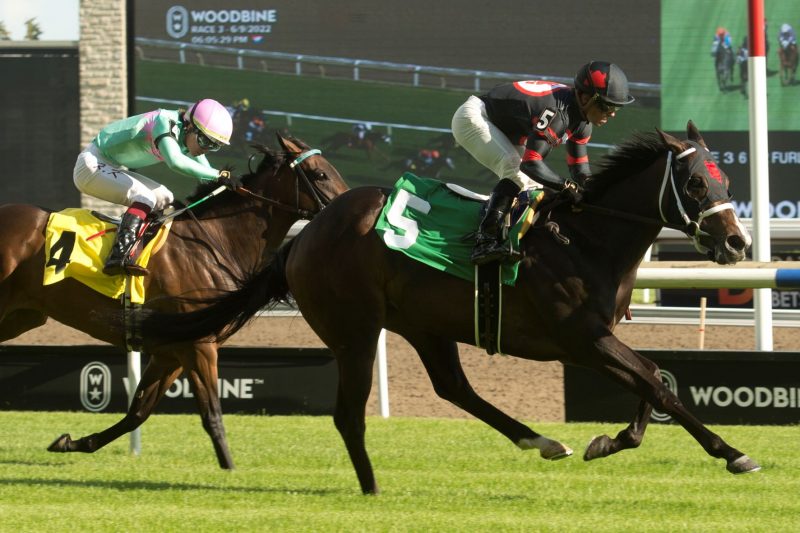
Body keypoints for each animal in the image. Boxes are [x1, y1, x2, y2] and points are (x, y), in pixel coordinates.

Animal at [0, 135, 350, 468]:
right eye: (320, 174)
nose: (346, 205)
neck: (216, 239)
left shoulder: (170, 351)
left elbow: (138, 411)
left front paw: (72, 443)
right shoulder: (199, 346)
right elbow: (212, 414)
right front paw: (229, 468)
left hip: (22, 315)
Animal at [130, 120, 756, 490]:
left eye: (724, 179)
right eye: (696, 183)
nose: (737, 243)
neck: (587, 239)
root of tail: (303, 238)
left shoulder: (594, 339)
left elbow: (654, 379)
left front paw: (611, 440)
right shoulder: (581, 338)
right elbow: (655, 380)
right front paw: (731, 452)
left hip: (425, 324)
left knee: (454, 388)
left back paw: (541, 440)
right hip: (356, 329)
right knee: (349, 412)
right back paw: (372, 487)